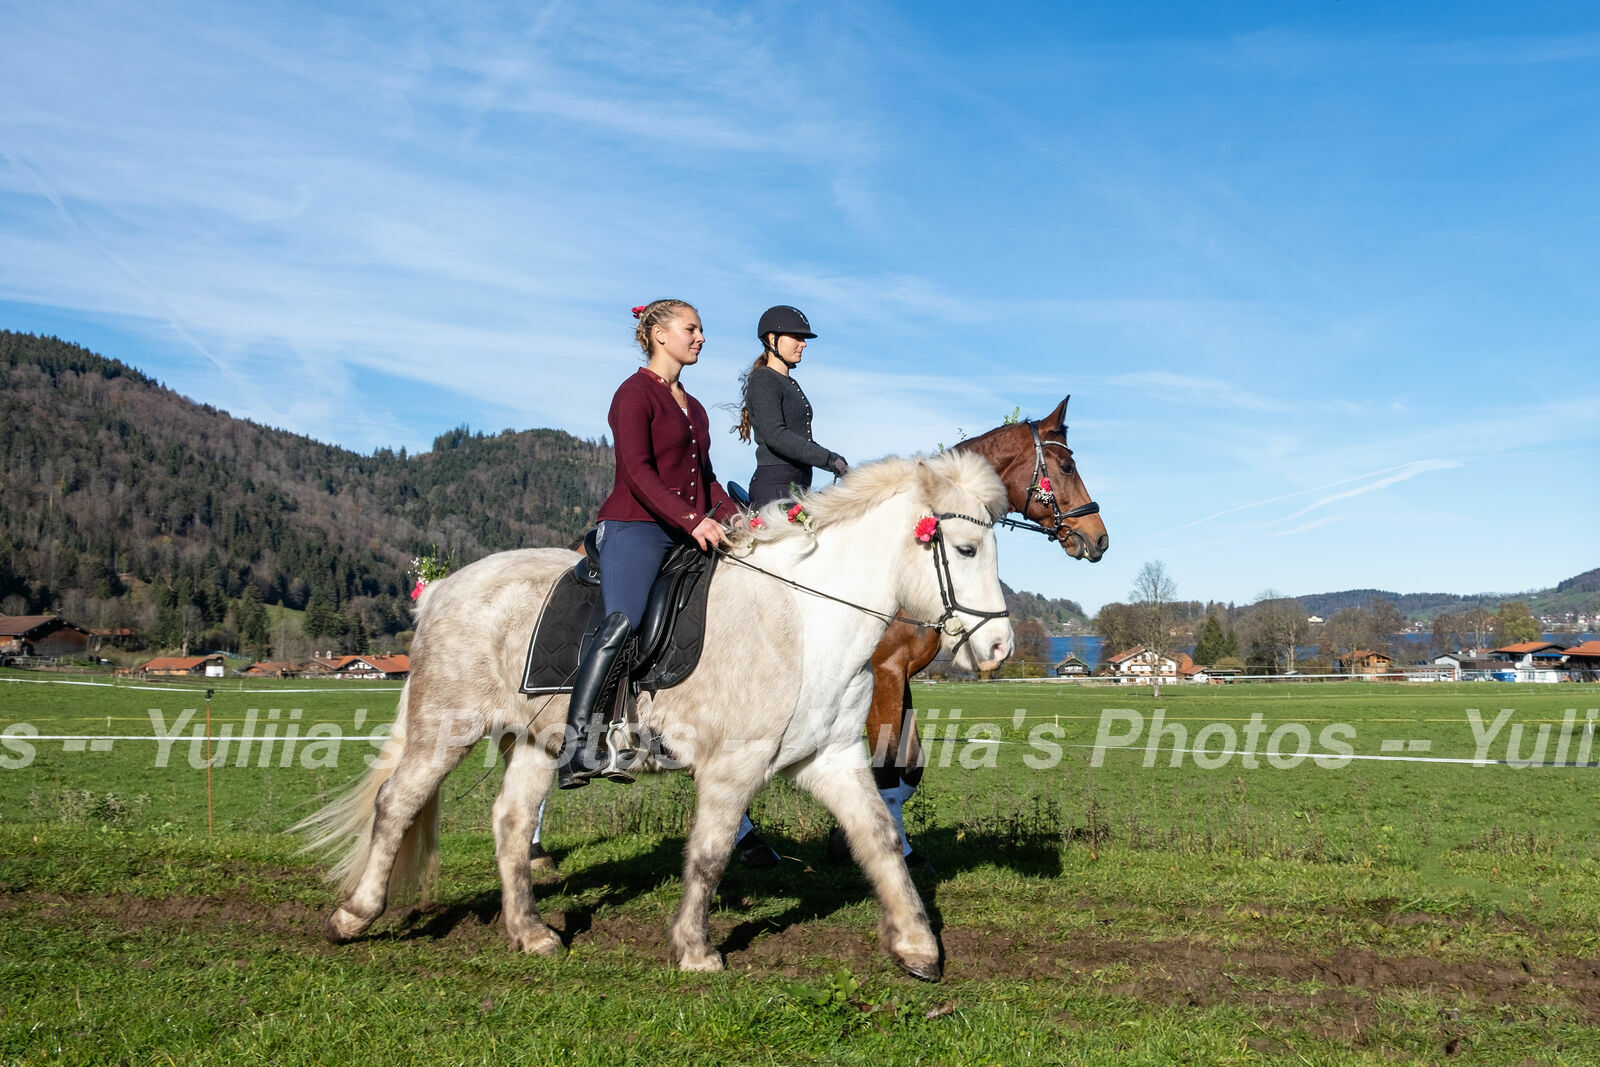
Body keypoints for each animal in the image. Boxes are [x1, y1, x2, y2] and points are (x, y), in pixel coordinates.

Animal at [297, 447, 1011, 979]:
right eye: (967, 550)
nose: (1001, 647)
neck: (809, 618)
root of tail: (443, 586)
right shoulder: (732, 767)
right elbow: (710, 853)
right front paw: (695, 950)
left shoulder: (830, 757)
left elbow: (880, 839)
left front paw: (918, 947)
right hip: (445, 727)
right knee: (397, 803)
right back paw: (354, 916)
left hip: (534, 743)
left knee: (511, 824)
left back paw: (531, 934)